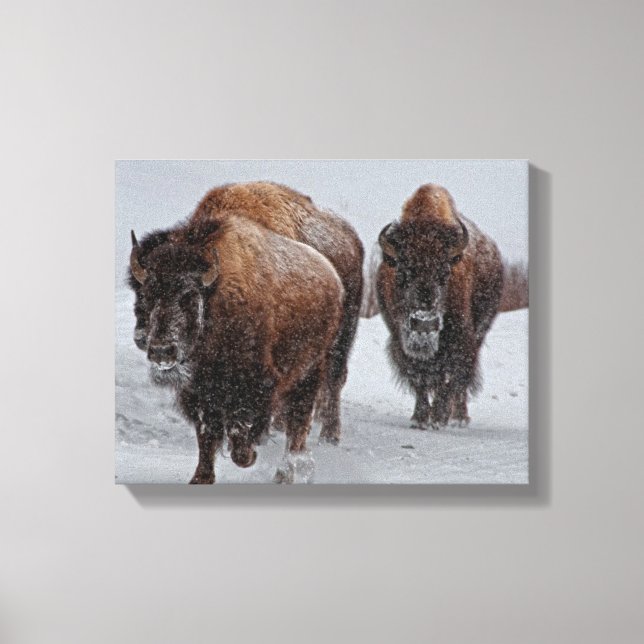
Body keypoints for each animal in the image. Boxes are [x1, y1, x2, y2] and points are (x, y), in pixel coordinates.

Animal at [376, 184, 504, 429]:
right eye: (401, 273)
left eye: (444, 273)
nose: (424, 324)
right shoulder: (400, 339)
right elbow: (419, 377)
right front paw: (419, 418)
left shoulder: (460, 339)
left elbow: (450, 377)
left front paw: (438, 418)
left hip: (479, 332)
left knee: (460, 382)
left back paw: (459, 417)